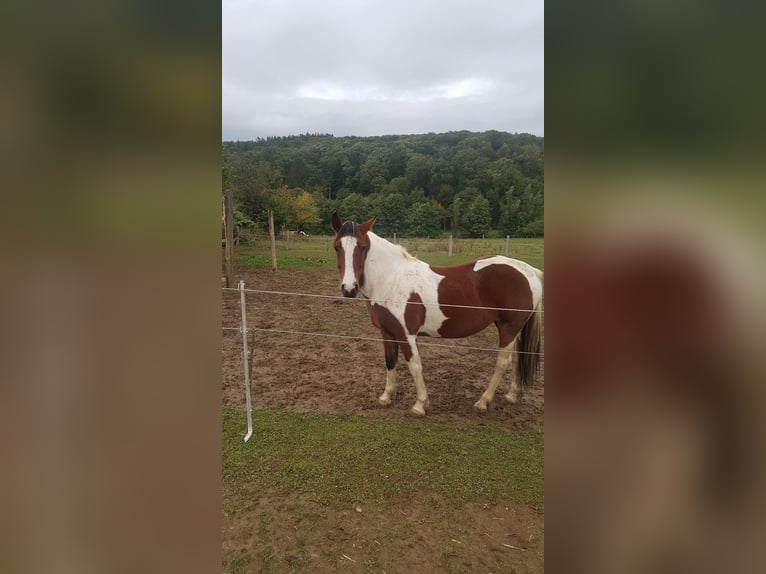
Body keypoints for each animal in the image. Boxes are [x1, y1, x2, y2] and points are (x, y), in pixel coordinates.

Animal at [331, 213, 543, 415]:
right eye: (336, 247)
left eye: (363, 247)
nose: (349, 288)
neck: (392, 279)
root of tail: (530, 271)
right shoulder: (387, 332)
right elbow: (390, 362)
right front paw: (386, 397)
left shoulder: (406, 334)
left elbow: (415, 365)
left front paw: (420, 405)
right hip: (514, 329)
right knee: (516, 359)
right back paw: (512, 395)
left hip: (509, 328)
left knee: (503, 362)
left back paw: (483, 402)